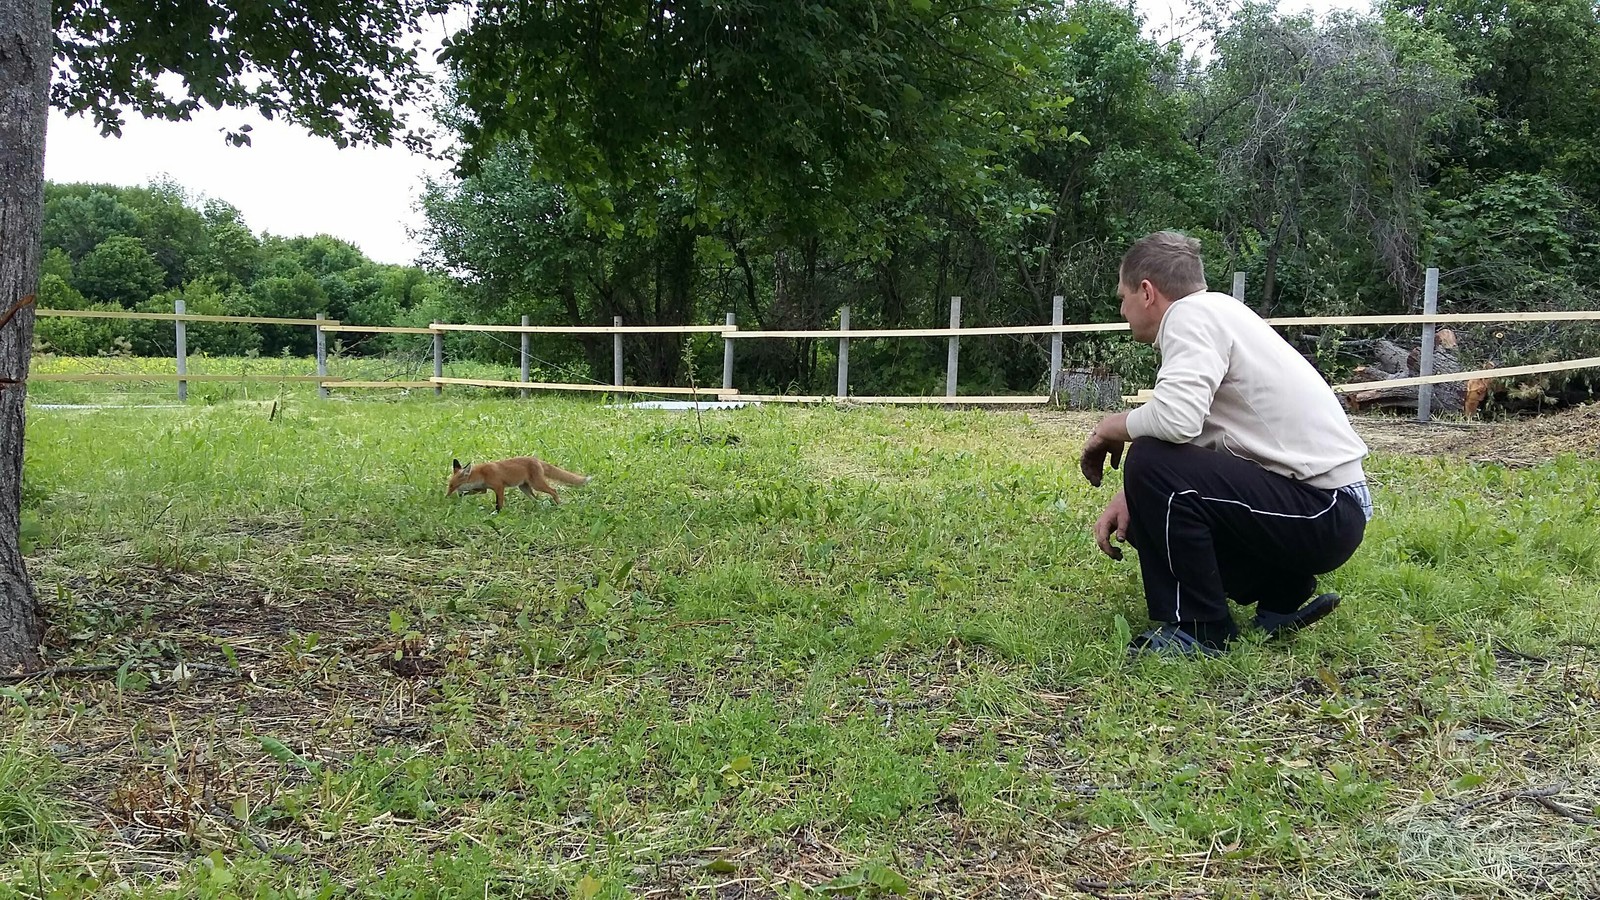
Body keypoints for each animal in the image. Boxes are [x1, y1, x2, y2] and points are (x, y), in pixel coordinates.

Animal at [448, 451, 592, 509]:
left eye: (452, 486)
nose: (447, 496)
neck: (481, 474)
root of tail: (536, 459)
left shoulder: (499, 487)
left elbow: (499, 503)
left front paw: (498, 512)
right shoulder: (483, 489)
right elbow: (473, 492)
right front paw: (461, 496)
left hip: (537, 484)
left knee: (553, 490)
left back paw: (558, 504)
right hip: (524, 487)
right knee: (536, 499)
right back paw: (538, 507)